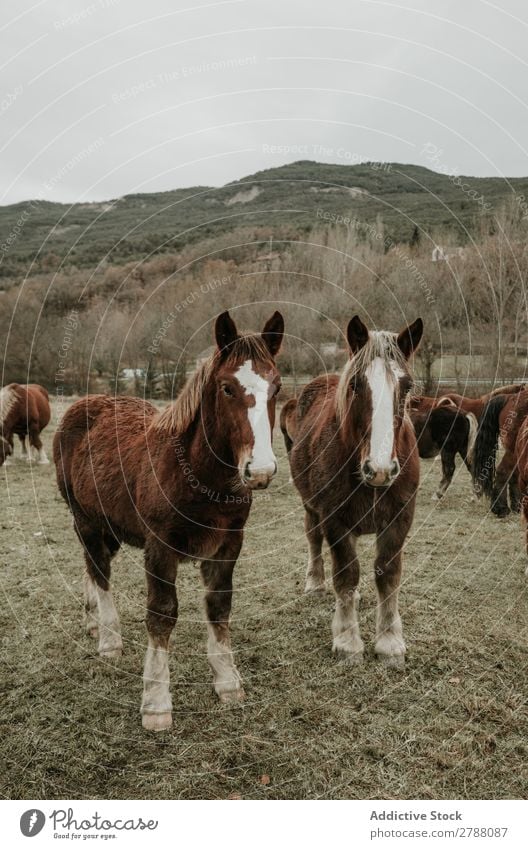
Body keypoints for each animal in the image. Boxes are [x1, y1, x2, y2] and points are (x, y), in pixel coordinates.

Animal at [52, 312, 284, 728]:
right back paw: (108, 638)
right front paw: (156, 702)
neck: (197, 474)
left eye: (277, 387)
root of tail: (83, 405)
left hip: (109, 525)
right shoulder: (159, 546)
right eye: (227, 388)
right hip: (85, 518)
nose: (259, 470)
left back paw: (93, 621)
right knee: (99, 569)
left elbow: (219, 606)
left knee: (91, 564)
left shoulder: (230, 542)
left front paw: (227, 682)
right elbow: (162, 614)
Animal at [282, 314, 422, 672]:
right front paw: (347, 641)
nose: (380, 469)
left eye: (406, 386)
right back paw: (316, 581)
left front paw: (389, 643)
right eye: (357, 384)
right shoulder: (335, 520)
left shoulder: (399, 520)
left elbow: (388, 574)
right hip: (311, 508)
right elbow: (346, 574)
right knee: (314, 538)